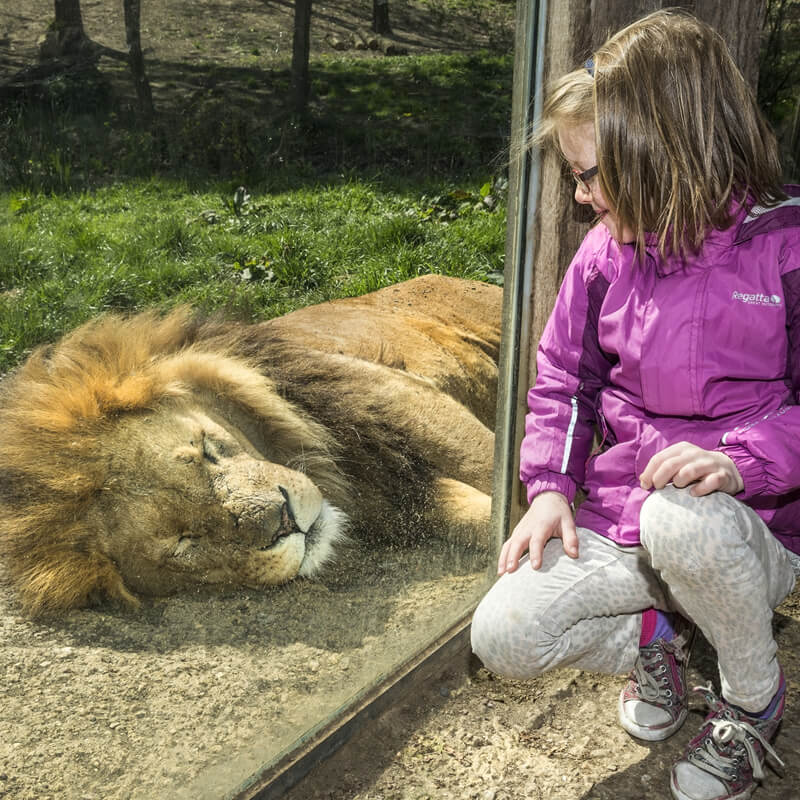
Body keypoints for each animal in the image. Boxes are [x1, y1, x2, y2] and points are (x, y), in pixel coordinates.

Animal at [0, 275, 501, 616]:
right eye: (185, 542)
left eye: (206, 451)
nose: (284, 522)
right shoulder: (401, 495)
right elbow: (479, 517)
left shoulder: (399, 399)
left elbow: (487, 463)